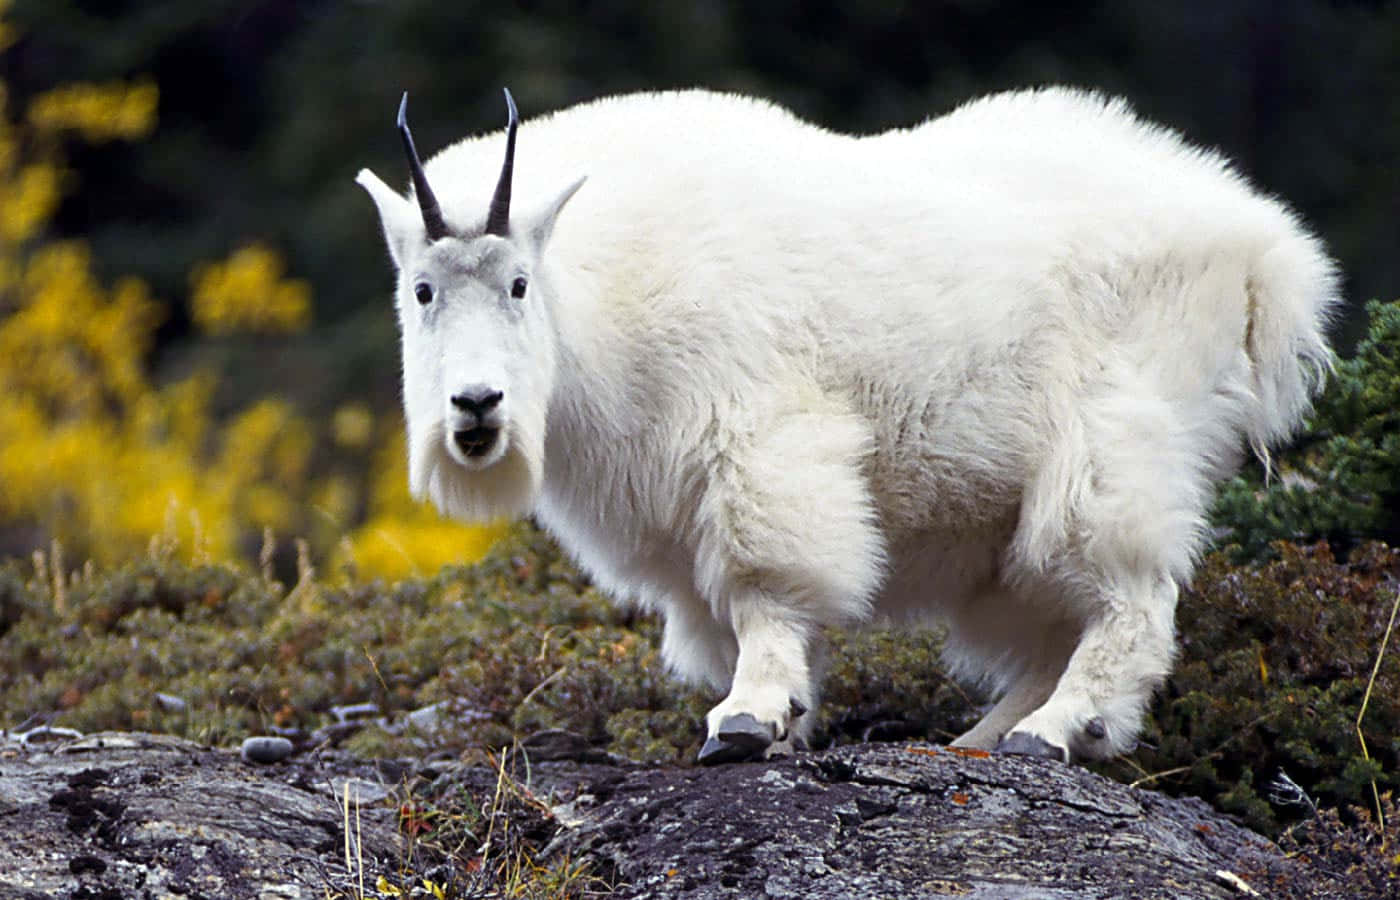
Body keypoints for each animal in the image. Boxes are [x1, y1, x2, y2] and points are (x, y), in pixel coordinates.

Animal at [355, 88, 1338, 767]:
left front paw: (749, 718)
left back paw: (1056, 729)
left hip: (1116, 438)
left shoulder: (756, 441)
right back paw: (980, 738)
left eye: (518, 284)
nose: (476, 407)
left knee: (1132, 598)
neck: (597, 296)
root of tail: (1265, 249)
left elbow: (766, 590)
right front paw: (788, 726)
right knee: (1052, 621)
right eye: (422, 290)